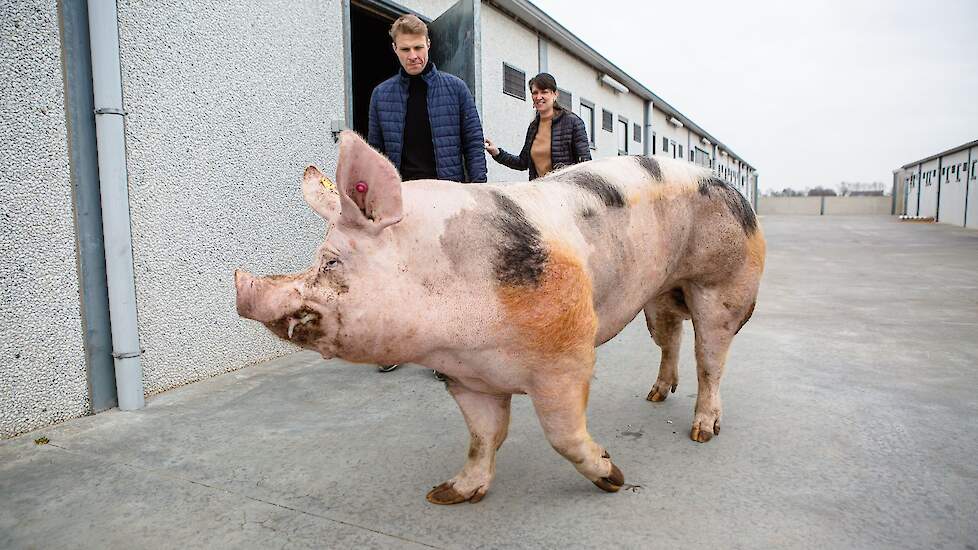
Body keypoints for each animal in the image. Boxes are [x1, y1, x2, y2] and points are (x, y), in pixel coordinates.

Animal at [234, 132, 764, 506]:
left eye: (330, 263)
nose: (241, 288)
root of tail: (735, 190)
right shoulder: (467, 377)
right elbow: (483, 437)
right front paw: (446, 494)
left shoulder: (567, 358)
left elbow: (563, 435)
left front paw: (614, 478)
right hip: (658, 296)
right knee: (669, 335)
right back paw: (656, 395)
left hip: (724, 287)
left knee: (710, 359)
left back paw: (701, 433)